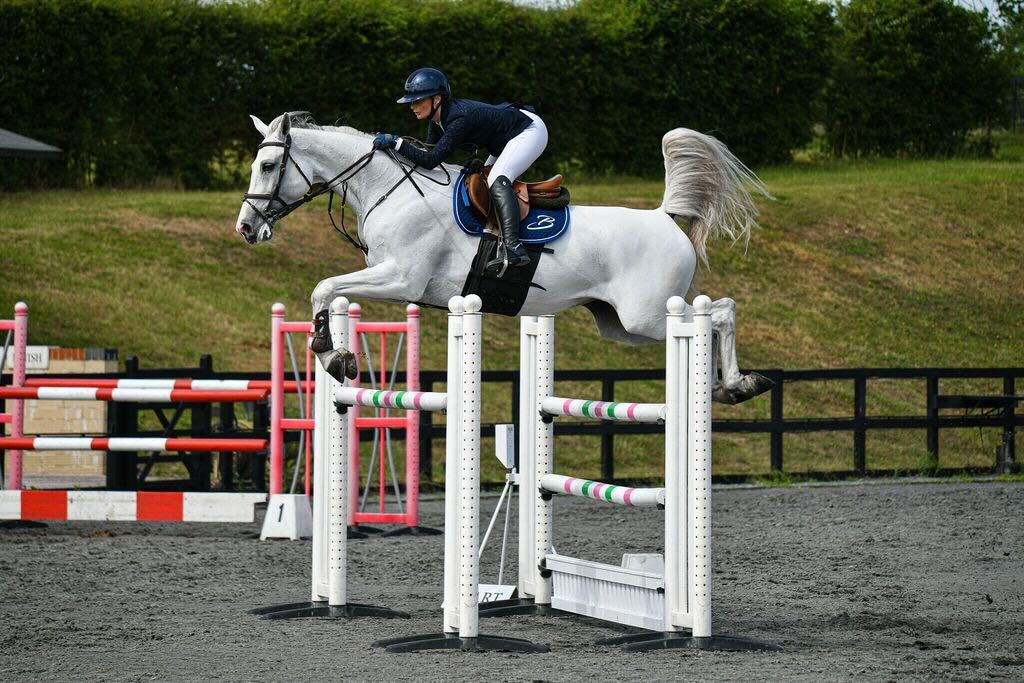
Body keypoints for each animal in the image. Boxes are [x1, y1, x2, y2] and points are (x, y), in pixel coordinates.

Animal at [235, 112, 773, 404]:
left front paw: (332, 354)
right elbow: (326, 291)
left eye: (269, 164)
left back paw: (739, 384)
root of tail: (664, 218)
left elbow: (324, 286)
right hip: (619, 322)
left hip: (647, 315)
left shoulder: (401, 279)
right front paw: (336, 354)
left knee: (718, 313)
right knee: (716, 312)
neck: (390, 189)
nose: (245, 228)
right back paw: (730, 387)